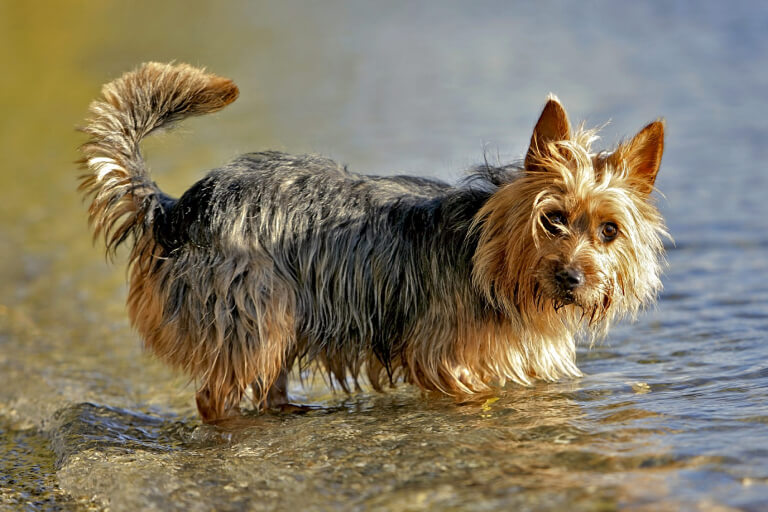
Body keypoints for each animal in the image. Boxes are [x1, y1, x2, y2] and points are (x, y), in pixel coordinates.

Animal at [79, 63, 664, 424]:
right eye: (553, 219)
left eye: (609, 231)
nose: (573, 278)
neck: (489, 258)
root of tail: (176, 209)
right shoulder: (446, 361)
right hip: (254, 307)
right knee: (215, 395)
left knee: (265, 383)